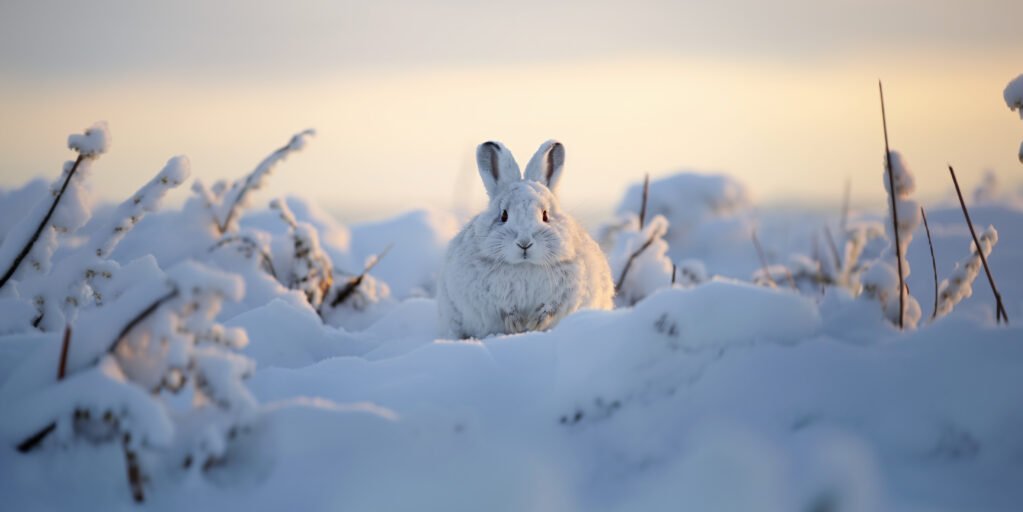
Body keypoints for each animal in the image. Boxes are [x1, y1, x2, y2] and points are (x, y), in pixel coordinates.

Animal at [437, 140, 614, 338]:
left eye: (545, 215)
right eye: (504, 215)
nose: (524, 243)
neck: (525, 265)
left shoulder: (566, 294)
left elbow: (550, 309)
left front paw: (534, 323)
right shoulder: (489, 298)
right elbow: (504, 310)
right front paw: (516, 324)